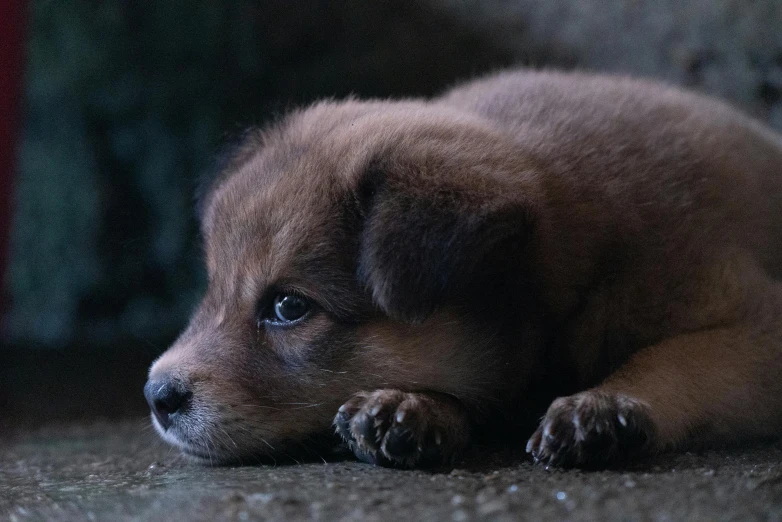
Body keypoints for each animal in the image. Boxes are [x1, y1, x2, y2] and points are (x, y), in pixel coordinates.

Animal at [142, 68, 782, 468]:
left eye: (289, 306)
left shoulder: (752, 319)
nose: (156, 395)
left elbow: (675, 358)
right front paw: (410, 407)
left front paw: (607, 406)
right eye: (212, 290)